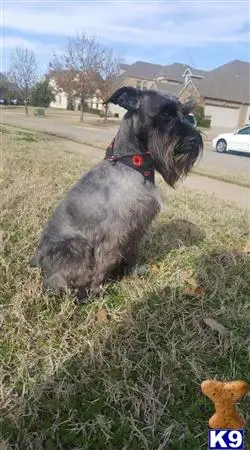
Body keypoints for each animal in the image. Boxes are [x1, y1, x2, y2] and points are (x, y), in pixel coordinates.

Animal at [31, 86, 203, 300]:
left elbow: (132, 252)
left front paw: (132, 271)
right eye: (165, 113)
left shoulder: (137, 226)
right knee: (56, 280)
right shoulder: (115, 232)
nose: (194, 139)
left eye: (187, 115)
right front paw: (96, 289)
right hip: (76, 247)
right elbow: (106, 261)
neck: (133, 165)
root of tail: (37, 260)